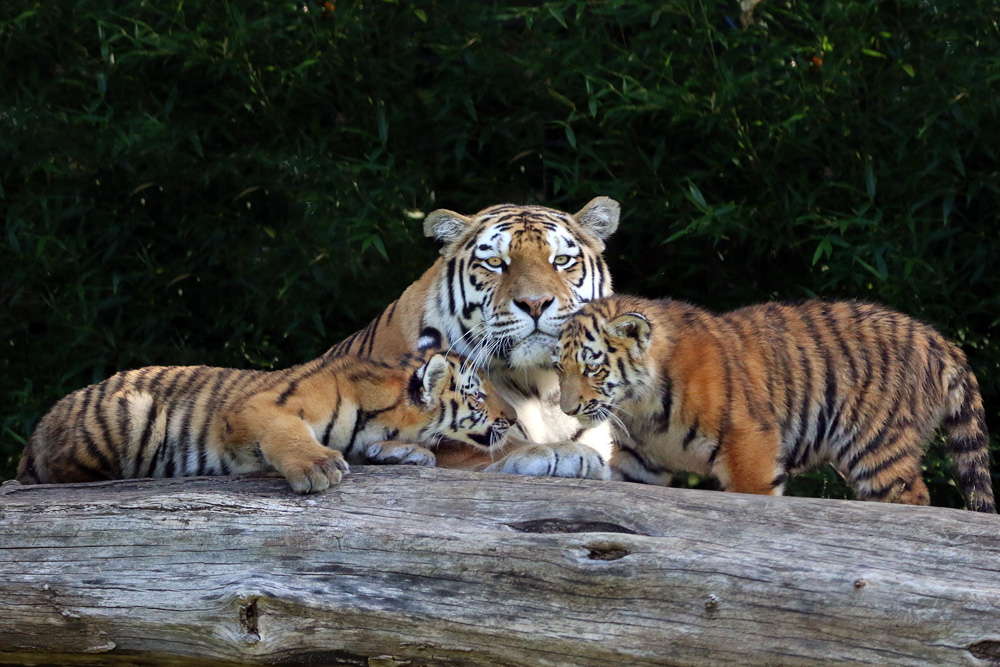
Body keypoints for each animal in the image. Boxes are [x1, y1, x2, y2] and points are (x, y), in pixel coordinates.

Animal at [324, 196, 620, 478]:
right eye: (495, 262)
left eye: (561, 260)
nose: (535, 303)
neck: (542, 386)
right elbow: (487, 444)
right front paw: (562, 453)